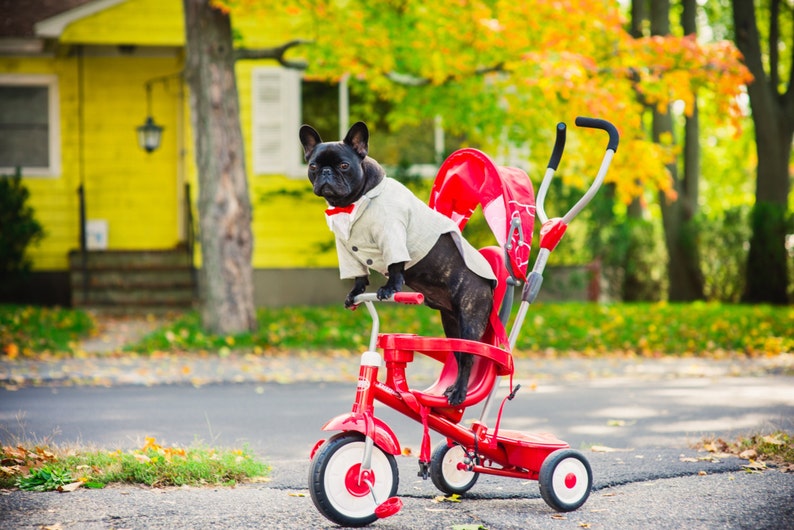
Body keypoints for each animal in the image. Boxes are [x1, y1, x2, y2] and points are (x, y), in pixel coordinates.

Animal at [300, 122, 492, 404]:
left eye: (344, 165)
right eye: (313, 165)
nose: (325, 172)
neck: (353, 203)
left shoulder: (392, 233)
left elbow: (395, 266)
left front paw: (390, 288)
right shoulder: (346, 249)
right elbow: (359, 274)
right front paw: (355, 293)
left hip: (470, 319)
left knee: (468, 357)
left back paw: (458, 392)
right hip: (451, 324)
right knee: (457, 355)